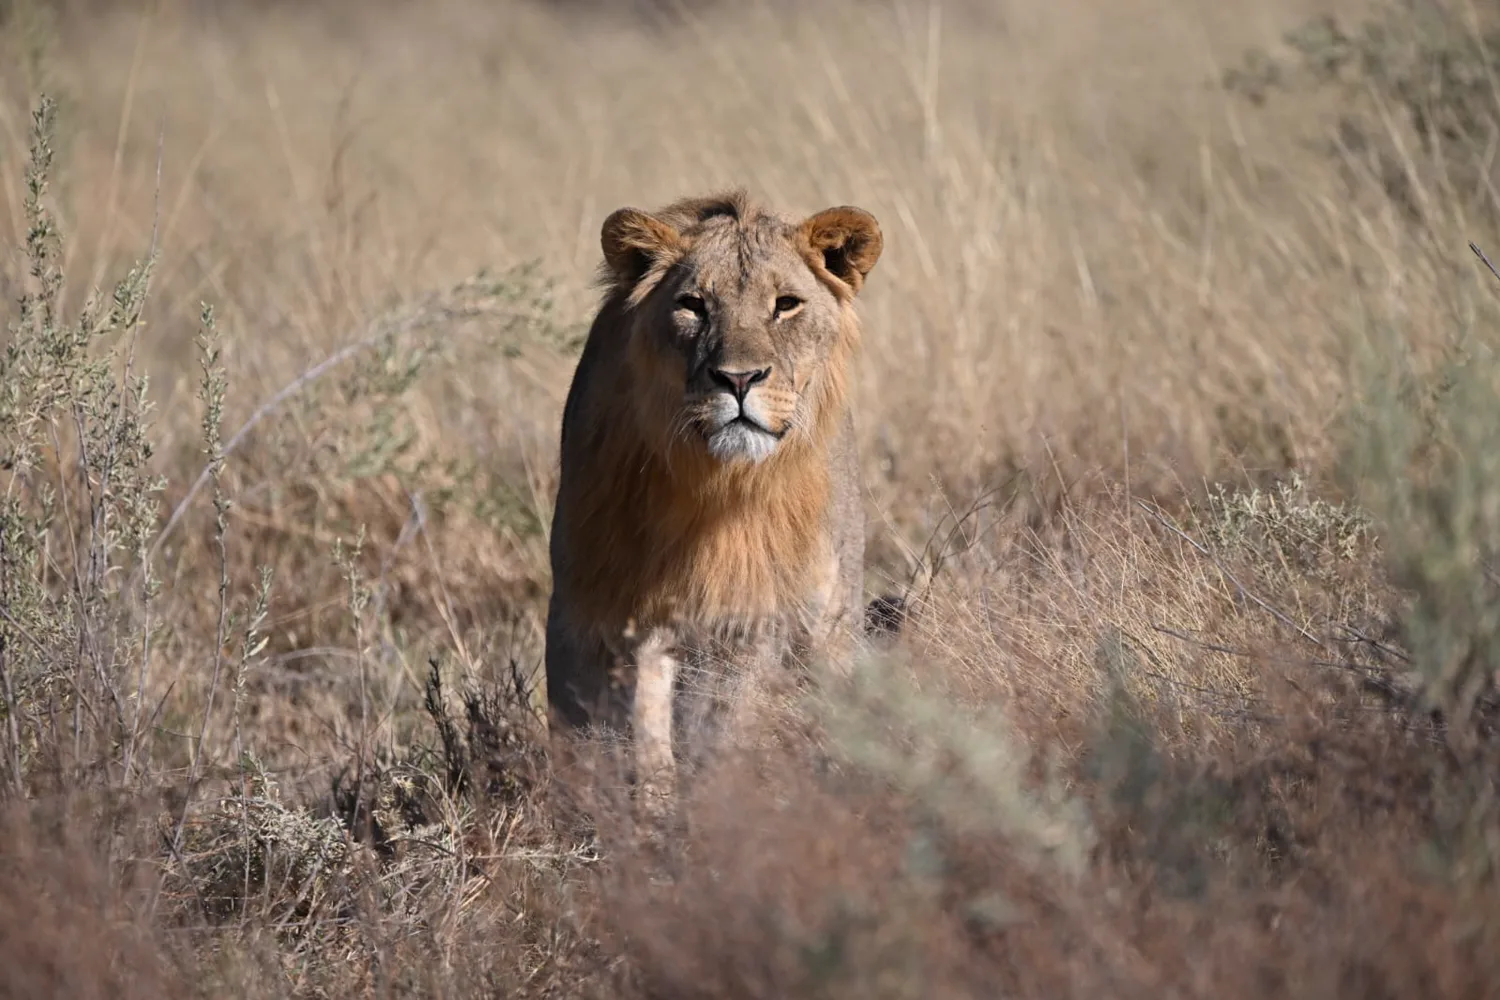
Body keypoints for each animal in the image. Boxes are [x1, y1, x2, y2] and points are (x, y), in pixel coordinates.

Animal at [543, 190, 886, 802]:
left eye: (786, 305)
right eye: (693, 306)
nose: (739, 380)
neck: (704, 484)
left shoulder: (746, 620)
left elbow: (720, 727)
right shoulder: (604, 608)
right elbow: (621, 732)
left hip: (833, 618)